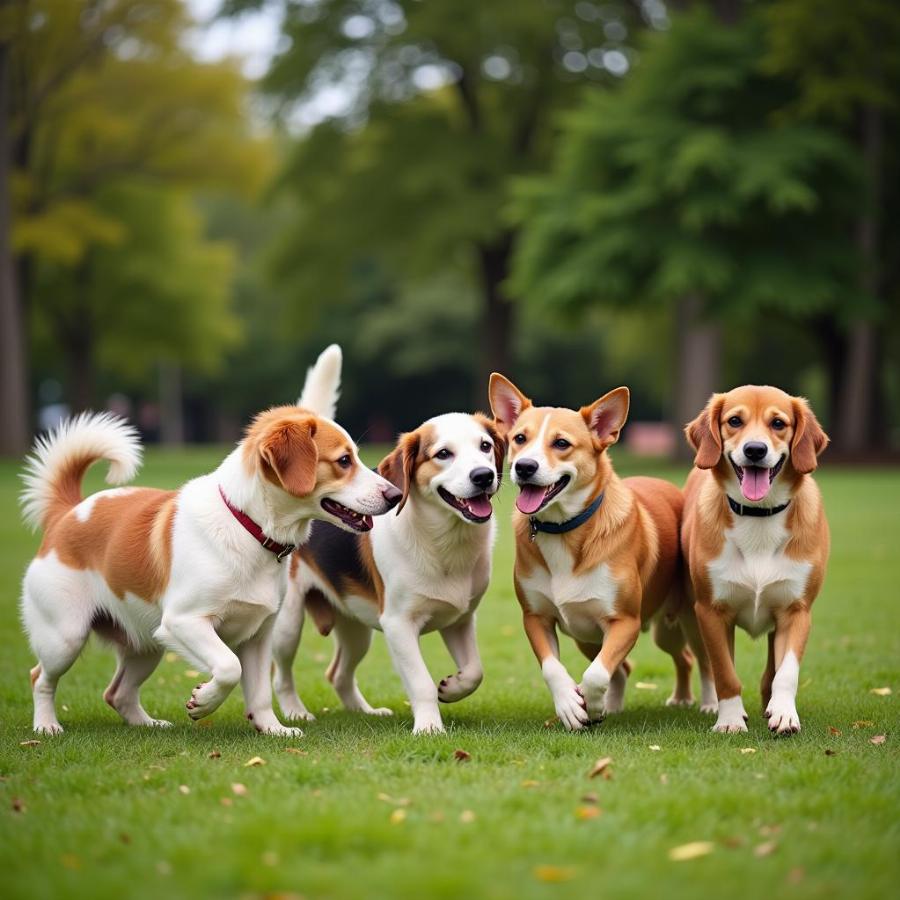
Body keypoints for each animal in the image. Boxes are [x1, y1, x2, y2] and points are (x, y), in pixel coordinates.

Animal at [18, 348, 400, 736]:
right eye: (344, 461)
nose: (395, 495)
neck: (248, 529)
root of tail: (69, 512)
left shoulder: (259, 635)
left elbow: (259, 691)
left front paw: (272, 728)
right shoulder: (184, 621)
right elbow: (229, 667)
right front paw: (204, 701)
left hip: (146, 643)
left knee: (117, 692)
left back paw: (149, 724)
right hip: (66, 637)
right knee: (40, 678)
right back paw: (46, 725)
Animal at [272, 392, 506, 732]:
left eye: (485, 446)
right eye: (444, 454)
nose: (483, 476)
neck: (442, 542)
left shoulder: (460, 619)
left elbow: (475, 671)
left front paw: (453, 687)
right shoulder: (398, 624)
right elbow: (421, 683)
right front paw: (429, 727)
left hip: (356, 629)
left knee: (338, 674)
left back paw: (364, 711)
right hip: (287, 625)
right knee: (281, 675)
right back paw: (295, 712)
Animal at [684, 384, 828, 732]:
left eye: (778, 423)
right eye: (735, 421)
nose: (754, 450)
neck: (759, 515)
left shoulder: (796, 610)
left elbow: (786, 672)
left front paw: (784, 712)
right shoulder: (711, 611)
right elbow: (725, 672)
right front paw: (730, 719)